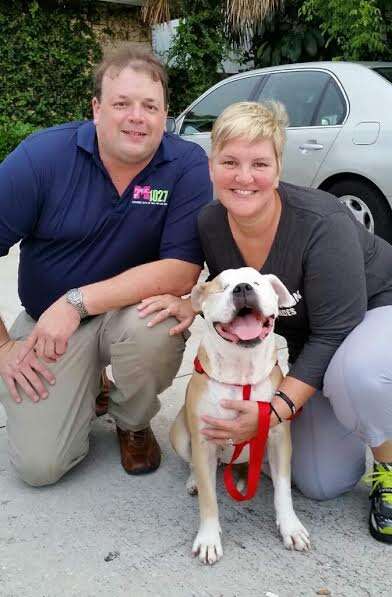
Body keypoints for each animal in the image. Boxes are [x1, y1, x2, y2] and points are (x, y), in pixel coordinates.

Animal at [170, 266, 310, 564]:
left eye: (257, 282)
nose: (243, 288)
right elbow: (209, 499)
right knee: (195, 466)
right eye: (221, 287)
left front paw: (290, 527)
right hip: (180, 435)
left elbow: (283, 490)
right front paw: (208, 539)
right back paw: (195, 480)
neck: (241, 372)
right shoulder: (203, 441)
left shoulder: (278, 437)